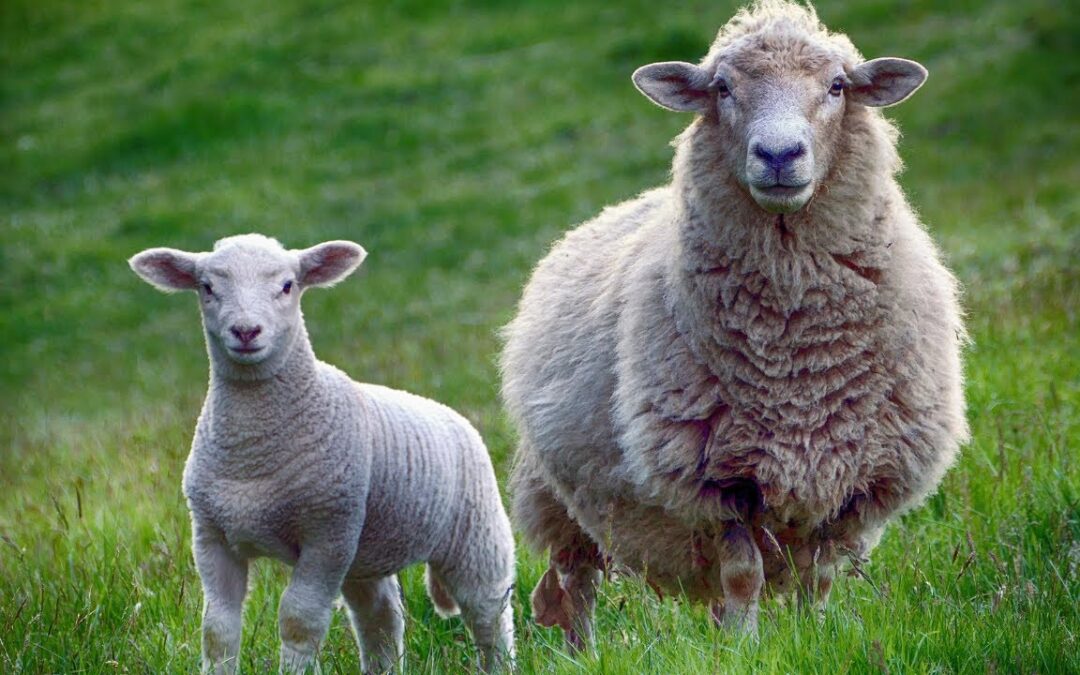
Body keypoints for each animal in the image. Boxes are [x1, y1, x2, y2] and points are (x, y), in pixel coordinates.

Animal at [129, 234, 515, 674]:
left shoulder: (326, 533)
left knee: (489, 614)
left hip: (475, 534)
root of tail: (453, 415)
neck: (252, 453)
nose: (246, 331)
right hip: (366, 551)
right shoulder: (211, 535)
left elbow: (299, 620)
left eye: (287, 286)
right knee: (380, 618)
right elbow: (217, 628)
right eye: (207, 288)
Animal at [501, 0, 967, 646]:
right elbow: (744, 575)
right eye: (722, 88)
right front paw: (745, 649)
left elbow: (819, 576)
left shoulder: (852, 478)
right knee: (577, 585)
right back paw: (586, 652)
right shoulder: (718, 481)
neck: (798, 357)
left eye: (838, 86)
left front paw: (813, 638)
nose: (779, 156)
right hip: (557, 497)